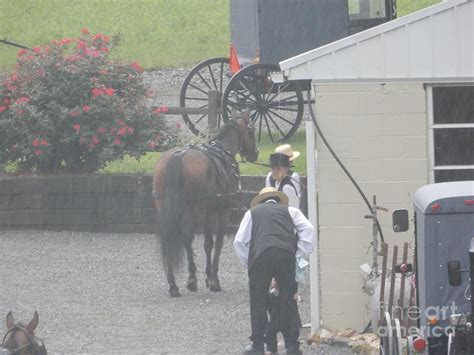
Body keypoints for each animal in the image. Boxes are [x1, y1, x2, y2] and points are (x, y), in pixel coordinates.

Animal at [153, 111, 258, 298]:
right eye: (252, 131)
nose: (256, 153)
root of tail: (177, 156)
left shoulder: (209, 212)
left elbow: (208, 243)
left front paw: (208, 276)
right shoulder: (222, 211)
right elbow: (218, 243)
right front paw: (214, 279)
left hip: (165, 208)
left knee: (169, 239)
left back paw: (173, 284)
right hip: (194, 210)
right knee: (187, 239)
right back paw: (191, 279)